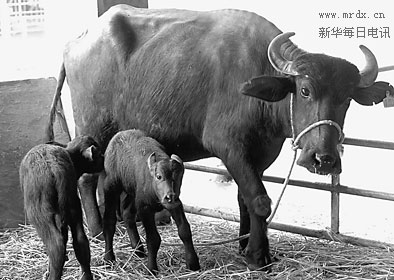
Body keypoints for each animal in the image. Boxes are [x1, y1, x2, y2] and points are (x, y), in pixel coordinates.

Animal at [20, 135, 104, 278]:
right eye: (98, 153)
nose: (104, 157)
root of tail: (55, 167)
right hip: (72, 205)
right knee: (80, 240)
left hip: (42, 216)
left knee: (56, 247)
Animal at [101, 130, 200, 274]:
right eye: (159, 176)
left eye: (178, 176)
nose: (169, 196)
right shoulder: (144, 208)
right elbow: (153, 239)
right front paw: (152, 268)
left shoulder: (175, 204)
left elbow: (185, 231)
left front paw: (193, 263)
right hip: (111, 186)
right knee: (109, 221)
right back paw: (108, 258)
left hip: (133, 193)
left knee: (127, 214)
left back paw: (138, 250)